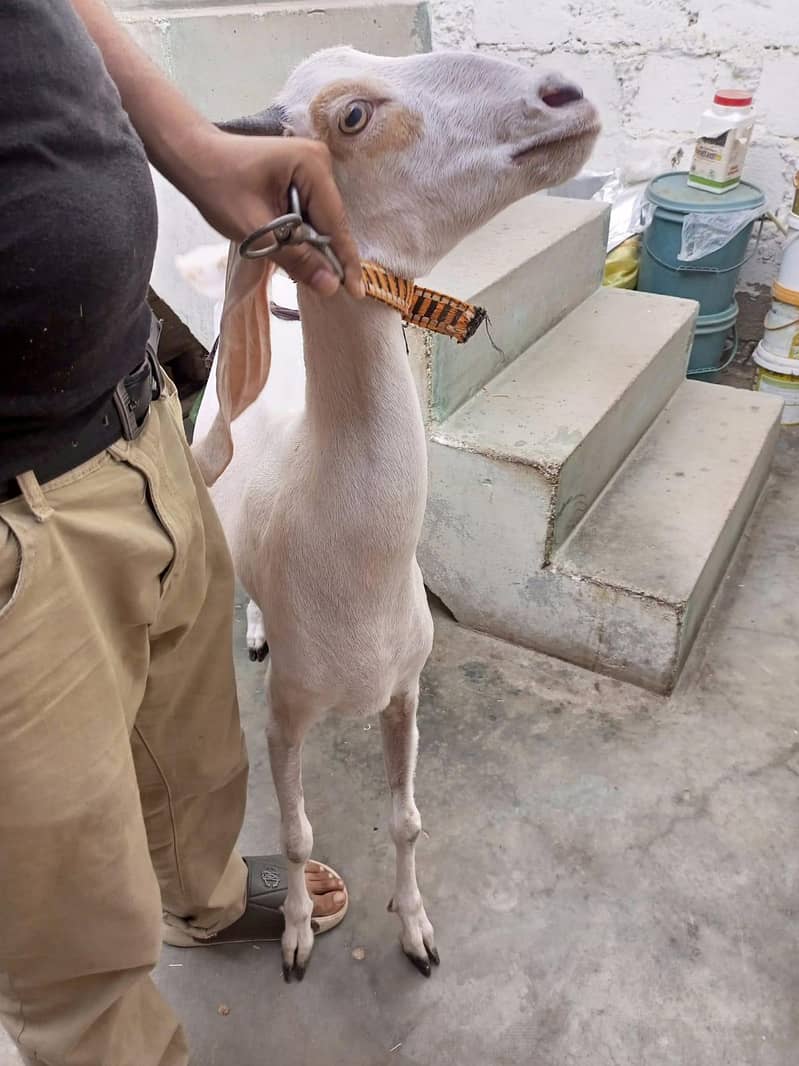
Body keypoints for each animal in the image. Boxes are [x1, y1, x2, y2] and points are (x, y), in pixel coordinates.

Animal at [185, 46, 599, 980]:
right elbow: (298, 835)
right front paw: (297, 935)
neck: (356, 587)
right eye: (351, 117)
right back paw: (254, 629)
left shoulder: (406, 687)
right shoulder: (287, 718)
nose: (565, 95)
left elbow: (407, 821)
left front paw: (416, 931)